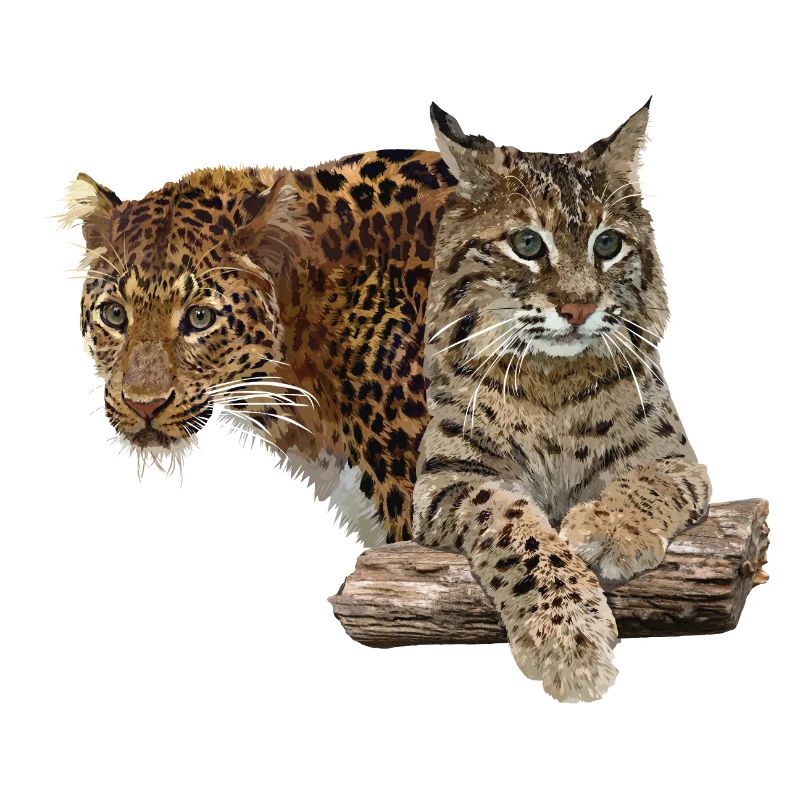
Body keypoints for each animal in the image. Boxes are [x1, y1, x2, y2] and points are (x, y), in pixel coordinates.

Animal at [412, 101, 711, 702]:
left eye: (607, 245)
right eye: (528, 245)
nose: (578, 308)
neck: (553, 377)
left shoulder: (679, 461)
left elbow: (648, 480)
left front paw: (611, 528)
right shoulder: (445, 479)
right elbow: (513, 525)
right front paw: (568, 640)